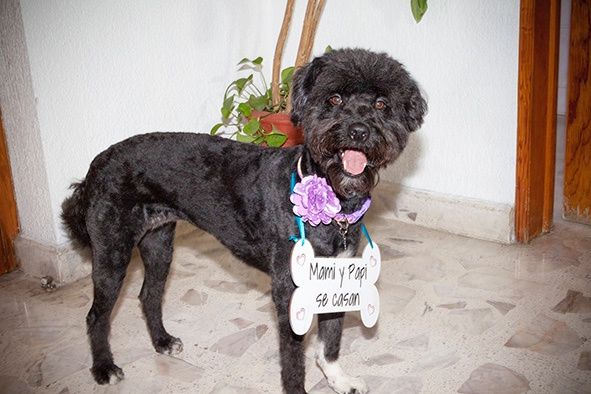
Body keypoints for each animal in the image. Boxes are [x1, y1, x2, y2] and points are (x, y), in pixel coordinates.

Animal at [62, 49, 426, 394]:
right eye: (334, 99)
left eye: (381, 103)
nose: (358, 130)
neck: (331, 204)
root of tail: (94, 167)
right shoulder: (288, 290)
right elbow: (294, 357)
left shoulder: (335, 277)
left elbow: (331, 341)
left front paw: (339, 380)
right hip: (112, 252)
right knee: (96, 315)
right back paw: (104, 368)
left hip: (159, 244)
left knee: (148, 296)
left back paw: (162, 342)